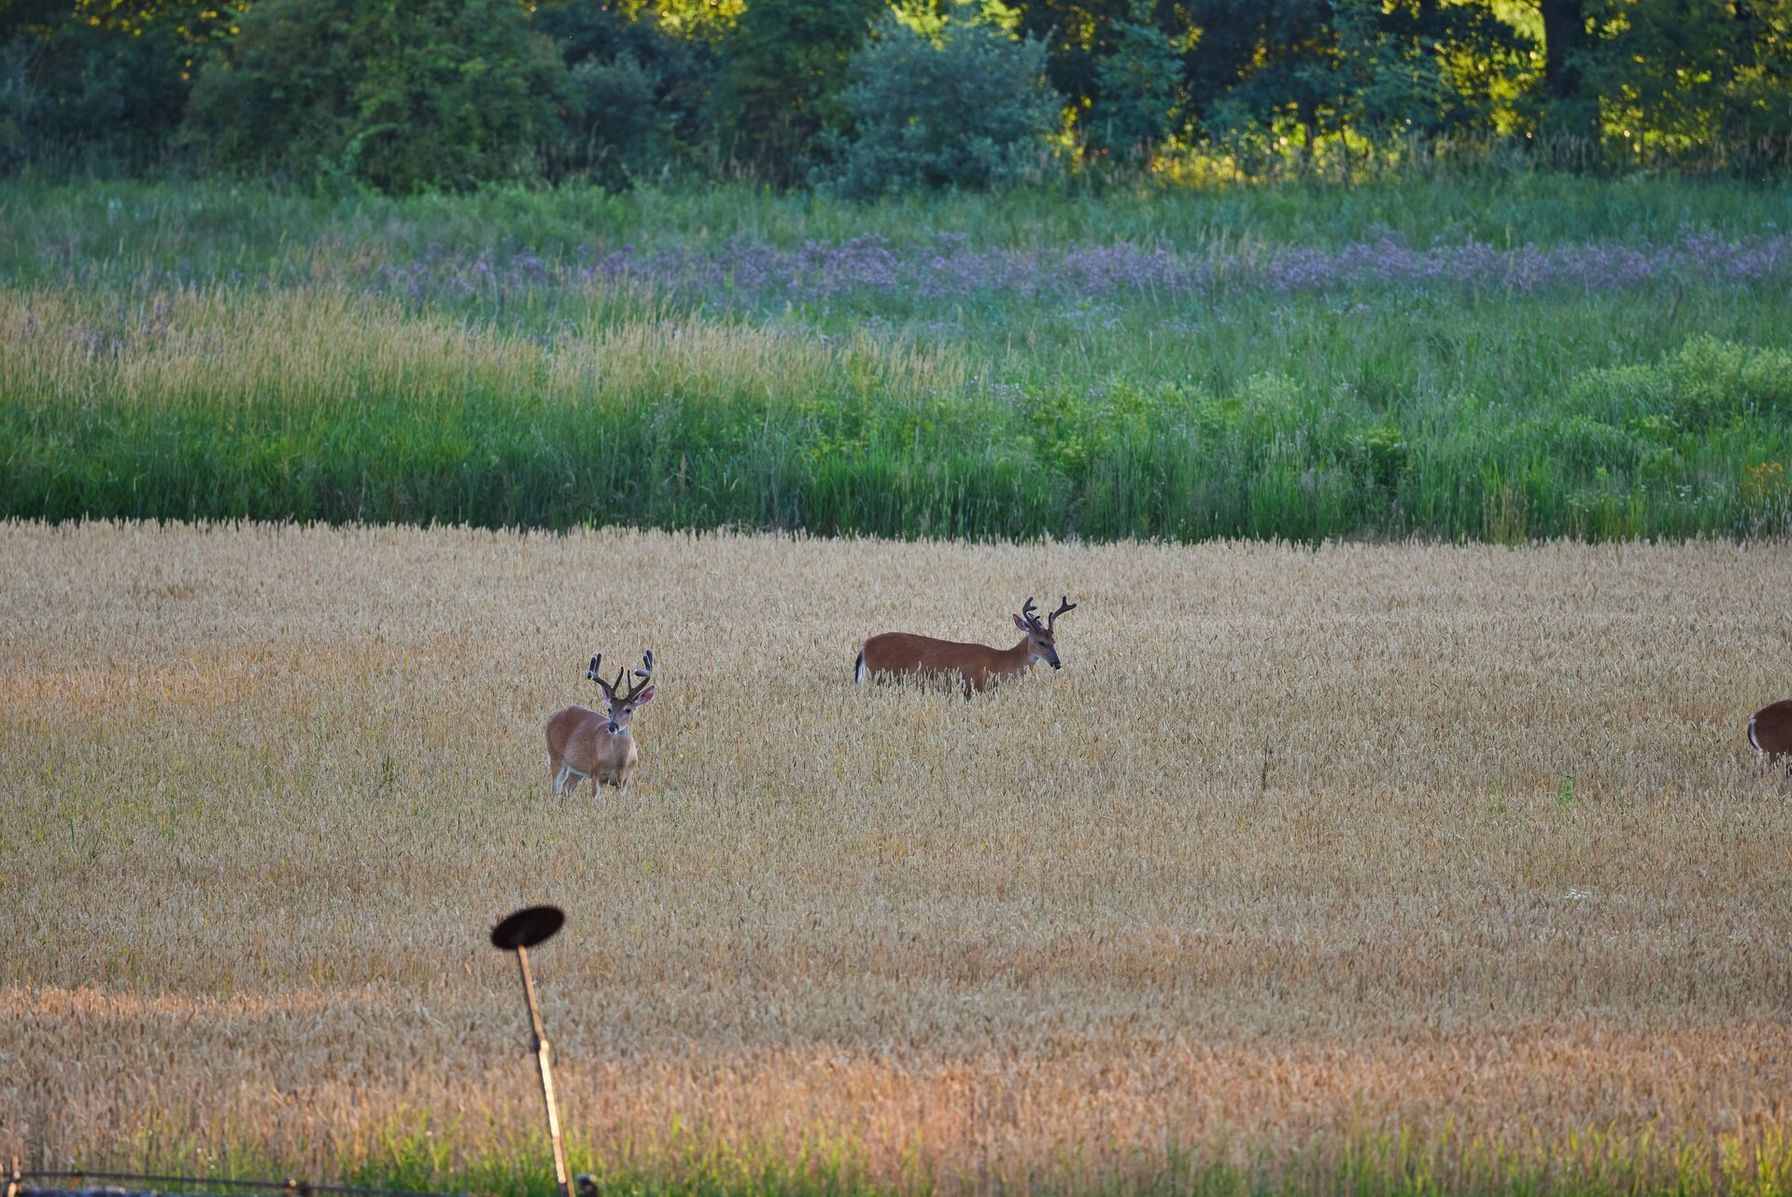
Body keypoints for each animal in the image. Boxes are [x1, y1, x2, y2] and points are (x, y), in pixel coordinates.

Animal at [545, 650, 654, 796]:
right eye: (609, 709)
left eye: (628, 709)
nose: (613, 726)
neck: (619, 763)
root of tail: (552, 717)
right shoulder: (596, 774)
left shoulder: (624, 782)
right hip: (556, 757)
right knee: (555, 791)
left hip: (577, 771)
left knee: (566, 788)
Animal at [854, 595, 1076, 697]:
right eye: (1041, 642)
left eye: (1054, 640)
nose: (1057, 663)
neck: (1000, 663)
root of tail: (864, 647)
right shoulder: (973, 686)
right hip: (882, 676)